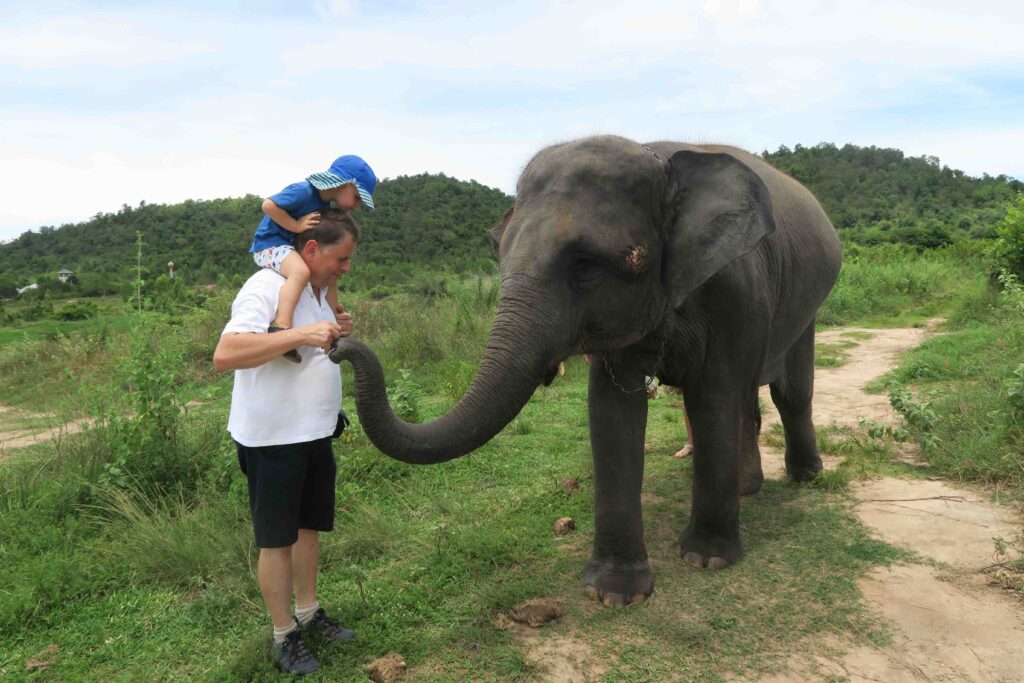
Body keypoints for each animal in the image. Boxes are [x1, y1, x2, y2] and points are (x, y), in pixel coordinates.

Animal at [327, 136, 839, 606]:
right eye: (497, 252)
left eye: (586, 264)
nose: (337, 344)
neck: (660, 162)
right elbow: (611, 411)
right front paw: (614, 593)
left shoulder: (735, 287)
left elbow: (713, 397)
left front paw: (706, 560)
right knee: (748, 400)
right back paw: (748, 490)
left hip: (808, 307)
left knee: (787, 392)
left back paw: (804, 477)